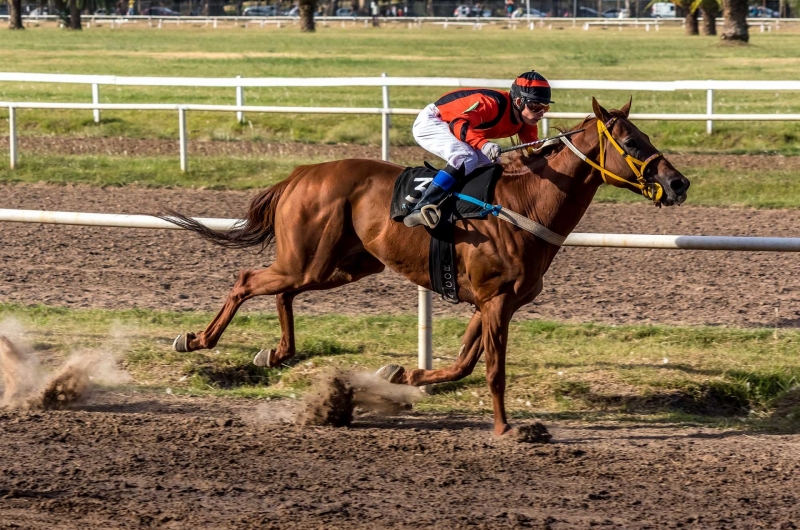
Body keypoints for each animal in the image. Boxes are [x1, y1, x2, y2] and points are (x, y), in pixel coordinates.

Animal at [161, 99, 688, 438]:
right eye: (633, 142)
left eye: (645, 136)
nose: (679, 182)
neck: (525, 203)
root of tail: (301, 173)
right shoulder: (495, 301)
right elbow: (492, 370)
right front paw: (508, 429)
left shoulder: (492, 303)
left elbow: (463, 364)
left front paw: (401, 375)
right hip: (308, 260)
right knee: (248, 280)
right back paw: (198, 339)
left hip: (339, 266)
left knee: (282, 291)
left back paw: (277, 352)